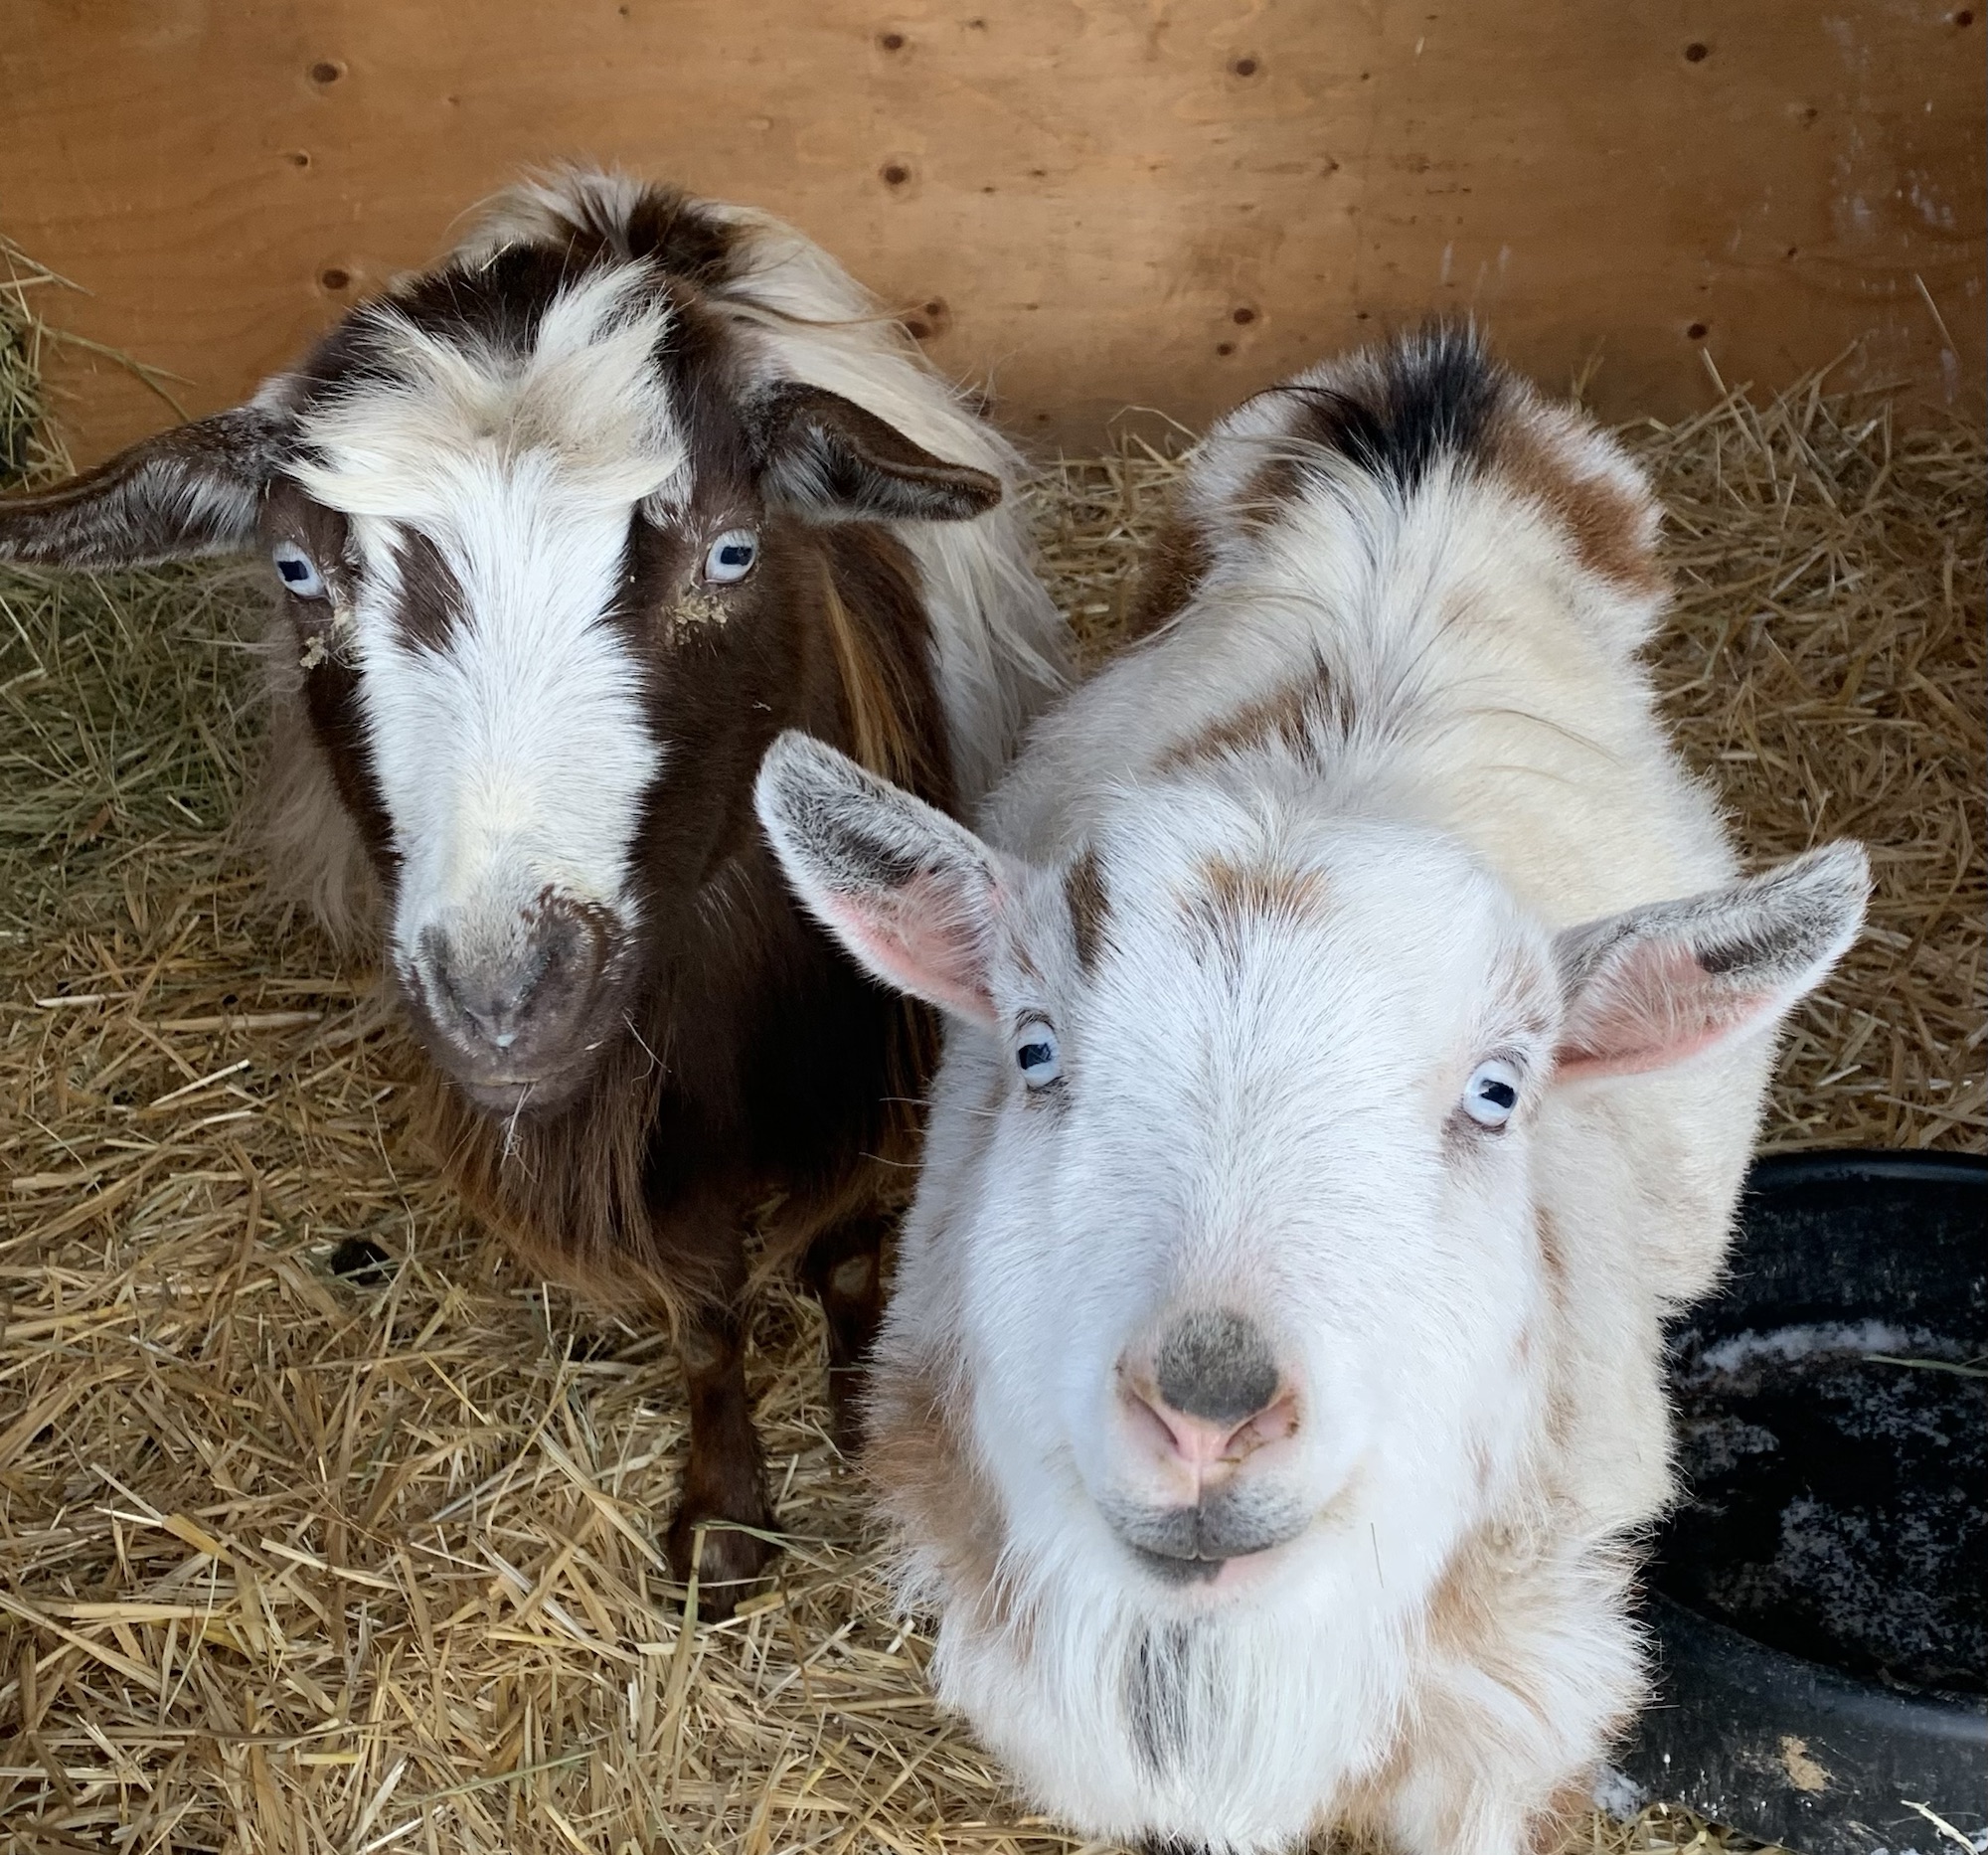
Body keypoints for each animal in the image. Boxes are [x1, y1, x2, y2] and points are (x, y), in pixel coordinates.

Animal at [0, 169, 1068, 1612]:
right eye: (295, 570)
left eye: (733, 552)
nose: (504, 996)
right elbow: (701, 1307)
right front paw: (720, 1521)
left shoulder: (871, 1066)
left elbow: (848, 1249)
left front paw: (862, 1421)